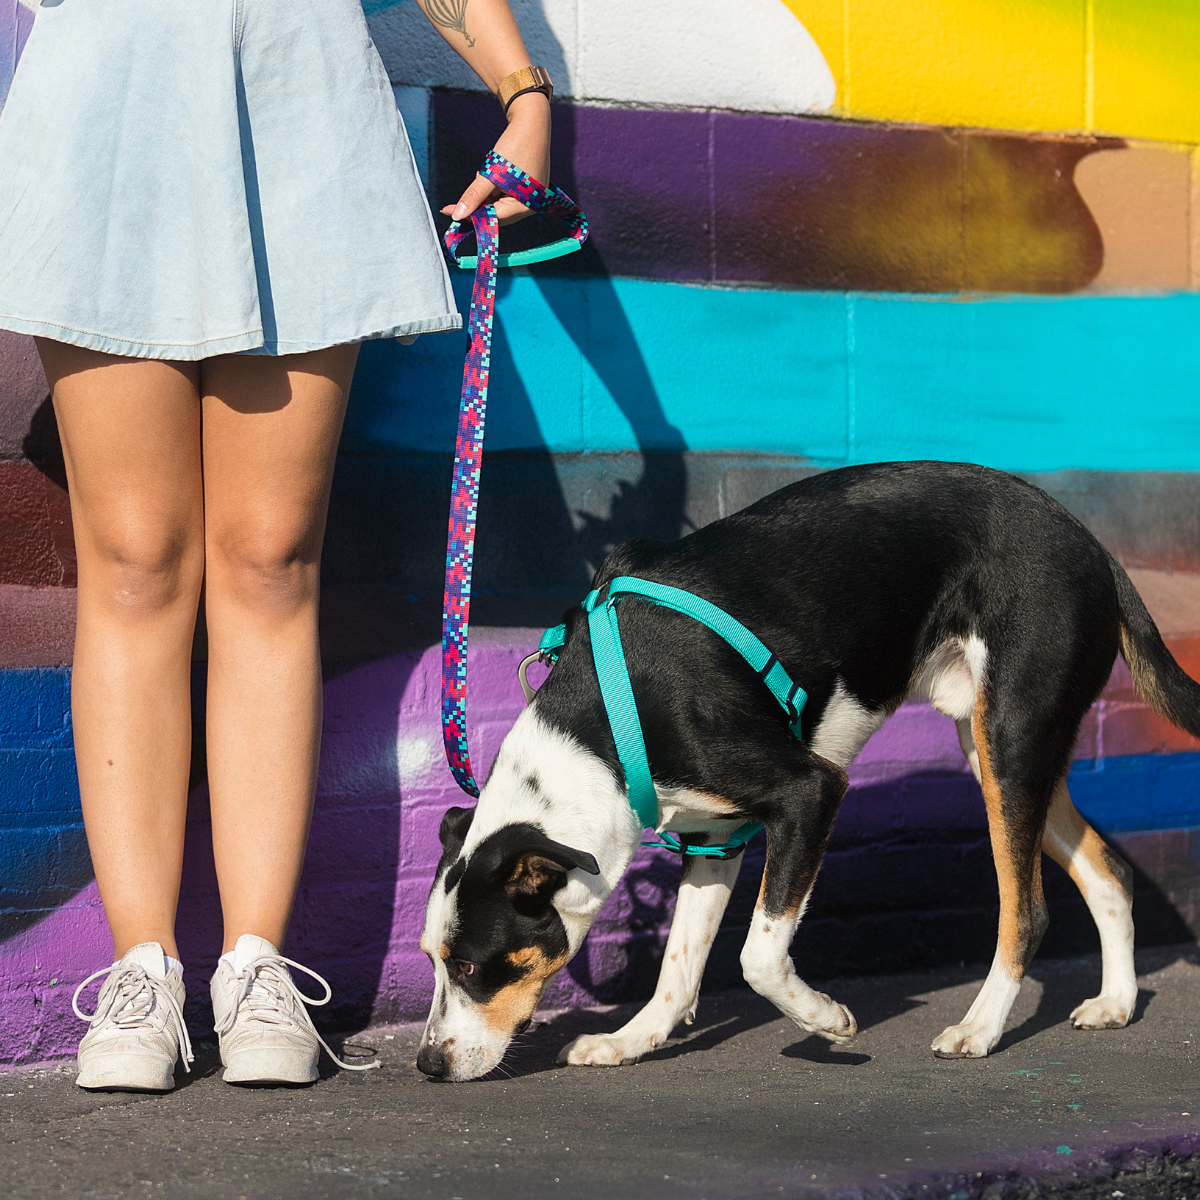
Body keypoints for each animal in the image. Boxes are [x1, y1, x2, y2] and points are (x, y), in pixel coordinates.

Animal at [415, 458, 1200, 1080]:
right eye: (430, 959)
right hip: (1002, 750)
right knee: (1109, 871)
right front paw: (631, 1041)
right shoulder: (713, 836)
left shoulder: (808, 792)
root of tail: (1091, 545)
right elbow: (680, 965)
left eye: (472, 965)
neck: (604, 731)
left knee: (1027, 910)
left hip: (1010, 735)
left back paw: (980, 1027)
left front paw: (823, 1018)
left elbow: (758, 956)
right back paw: (1117, 1002)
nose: (427, 1064)